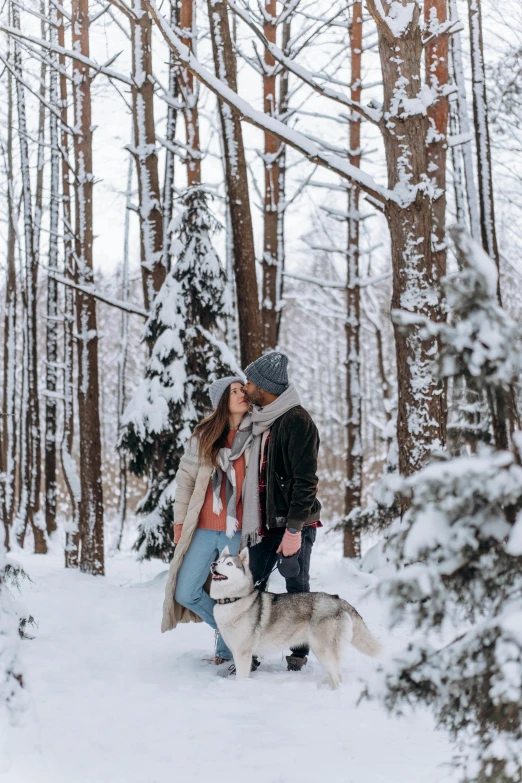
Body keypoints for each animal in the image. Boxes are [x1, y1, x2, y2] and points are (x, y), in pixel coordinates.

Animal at [209, 544, 380, 688]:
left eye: (229, 564)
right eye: (220, 561)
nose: (213, 564)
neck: (233, 599)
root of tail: (337, 599)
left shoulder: (243, 653)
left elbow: (241, 677)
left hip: (323, 650)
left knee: (338, 677)